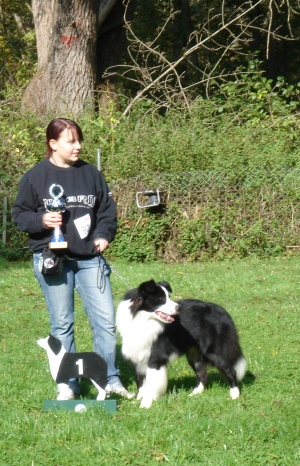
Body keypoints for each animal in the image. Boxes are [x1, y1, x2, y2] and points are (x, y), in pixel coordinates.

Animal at [116, 280, 246, 408]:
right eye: (161, 298)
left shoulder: (155, 359)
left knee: (231, 371)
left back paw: (234, 395)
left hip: (214, 351)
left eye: (168, 297)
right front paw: (138, 400)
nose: (178, 308)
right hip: (194, 354)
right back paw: (195, 394)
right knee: (202, 374)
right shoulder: (137, 357)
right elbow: (141, 382)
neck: (141, 319)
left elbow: (151, 385)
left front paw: (146, 404)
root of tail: (222, 310)